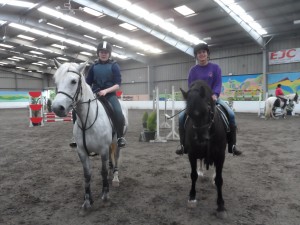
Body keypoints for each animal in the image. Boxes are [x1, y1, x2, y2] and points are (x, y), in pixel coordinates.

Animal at [51, 59, 127, 209]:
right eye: (56, 82)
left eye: (73, 81)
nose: (57, 108)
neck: (88, 120)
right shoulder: (81, 152)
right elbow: (87, 175)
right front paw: (87, 200)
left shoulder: (103, 150)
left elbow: (103, 171)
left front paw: (105, 195)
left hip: (117, 143)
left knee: (116, 157)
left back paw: (115, 178)